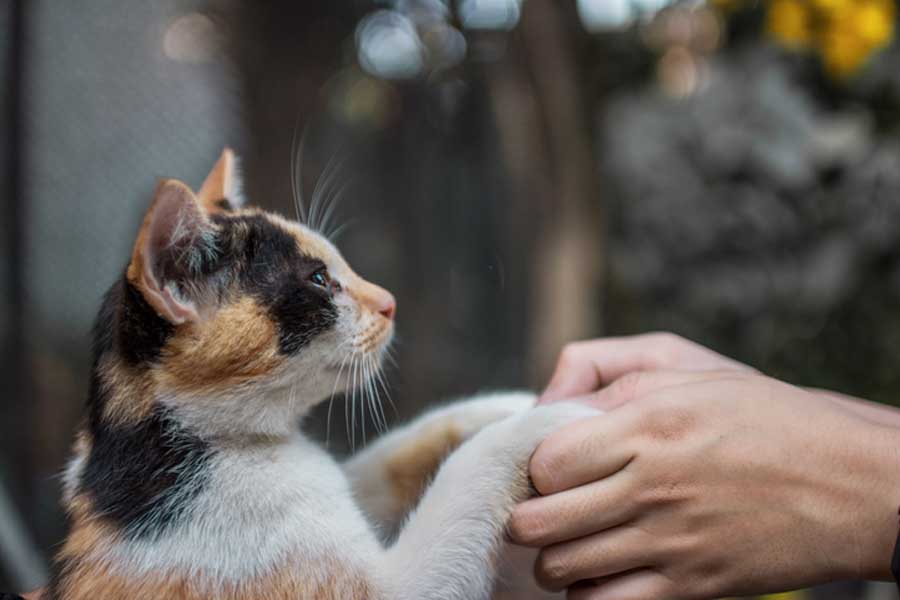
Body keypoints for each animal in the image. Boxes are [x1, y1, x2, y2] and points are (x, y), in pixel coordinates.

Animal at [44, 150, 596, 600]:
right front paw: (545, 421)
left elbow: (390, 456)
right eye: (318, 280)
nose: (389, 302)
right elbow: (462, 475)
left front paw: (509, 404)